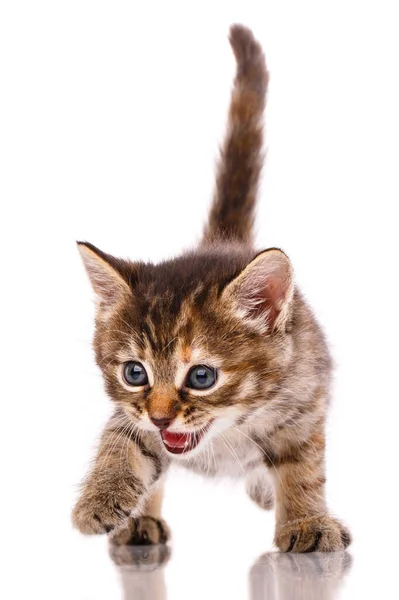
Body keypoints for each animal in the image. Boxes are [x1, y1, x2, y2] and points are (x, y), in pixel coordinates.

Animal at [73, 24, 352, 552]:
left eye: (202, 376)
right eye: (135, 373)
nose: (162, 418)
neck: (227, 432)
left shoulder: (306, 405)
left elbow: (303, 469)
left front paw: (306, 522)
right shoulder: (131, 415)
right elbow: (123, 441)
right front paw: (101, 498)